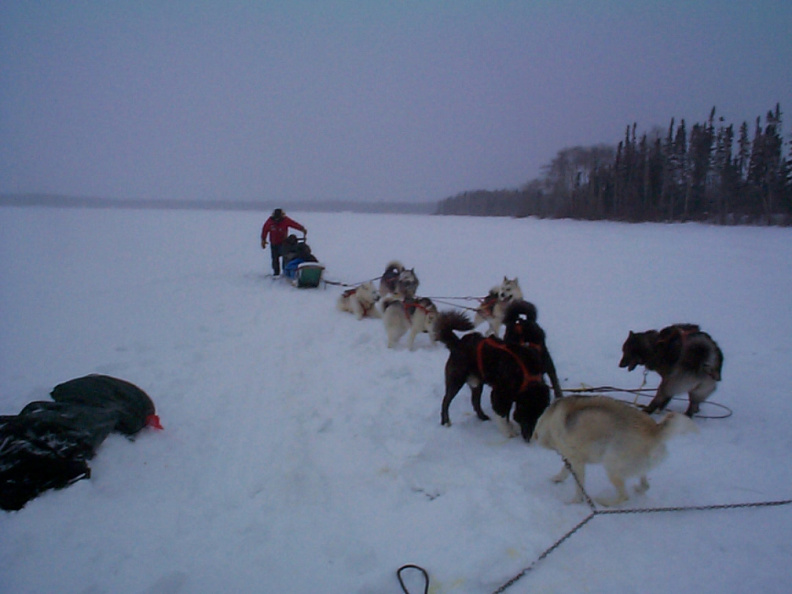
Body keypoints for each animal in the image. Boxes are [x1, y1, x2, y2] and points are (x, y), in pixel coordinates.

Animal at [436, 300, 560, 440]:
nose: (528, 438)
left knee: (475, 402)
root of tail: (457, 343)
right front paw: (508, 431)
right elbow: (502, 415)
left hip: (477, 383)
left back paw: (482, 417)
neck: (526, 374)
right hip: (456, 380)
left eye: (538, 417)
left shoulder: (509, 395)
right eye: (526, 415)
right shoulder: (500, 394)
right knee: (446, 401)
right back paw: (445, 421)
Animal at [532, 394, 692, 504]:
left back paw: (604, 503)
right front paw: (557, 478)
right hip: (634, 466)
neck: (549, 420)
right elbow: (565, 470)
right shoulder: (572, 459)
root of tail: (655, 430)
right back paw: (638, 489)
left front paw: (575, 501)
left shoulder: (577, 461)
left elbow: (579, 487)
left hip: (611, 466)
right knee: (645, 485)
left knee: (624, 496)